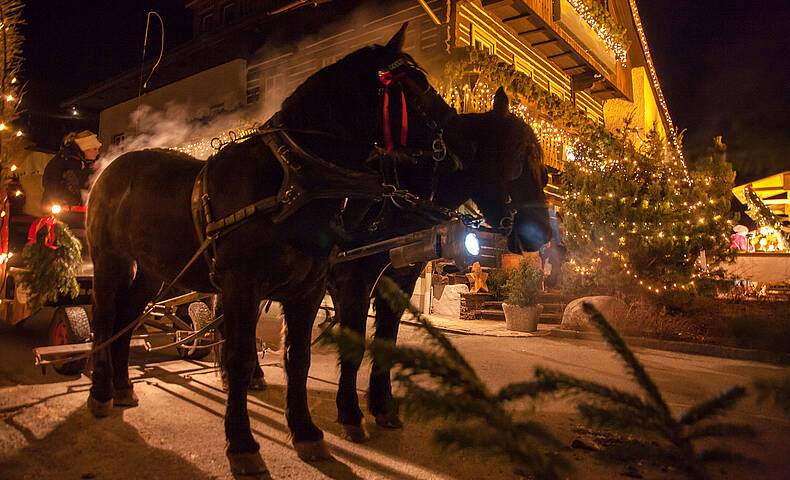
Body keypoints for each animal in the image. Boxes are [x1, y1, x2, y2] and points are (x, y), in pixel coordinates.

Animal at [89, 25, 496, 472]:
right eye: (414, 84)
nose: (467, 143)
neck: (290, 179)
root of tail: (110, 169)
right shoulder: (243, 285)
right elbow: (239, 357)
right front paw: (242, 442)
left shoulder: (308, 289)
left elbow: (297, 359)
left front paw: (306, 433)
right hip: (109, 262)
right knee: (105, 319)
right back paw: (100, 393)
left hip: (154, 271)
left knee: (129, 317)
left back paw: (123, 386)